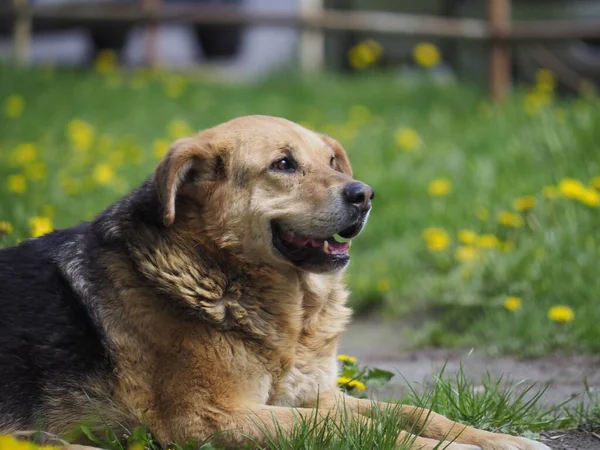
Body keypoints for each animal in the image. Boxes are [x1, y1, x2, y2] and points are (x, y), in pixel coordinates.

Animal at [0, 117, 548, 450]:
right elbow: (373, 431)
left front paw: (502, 440)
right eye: (283, 164)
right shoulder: (213, 418)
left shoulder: (315, 396)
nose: (365, 194)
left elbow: (414, 412)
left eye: (332, 162)